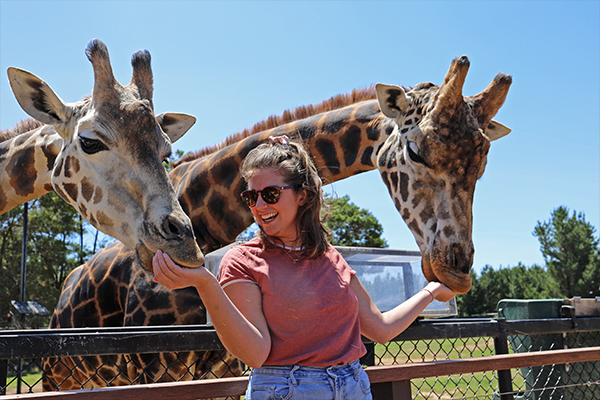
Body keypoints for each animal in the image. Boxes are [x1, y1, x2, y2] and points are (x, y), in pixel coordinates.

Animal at [42, 58, 510, 390]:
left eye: (483, 163)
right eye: (414, 151)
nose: (455, 269)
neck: (206, 217)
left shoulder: (227, 363)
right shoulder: (154, 366)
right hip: (60, 374)